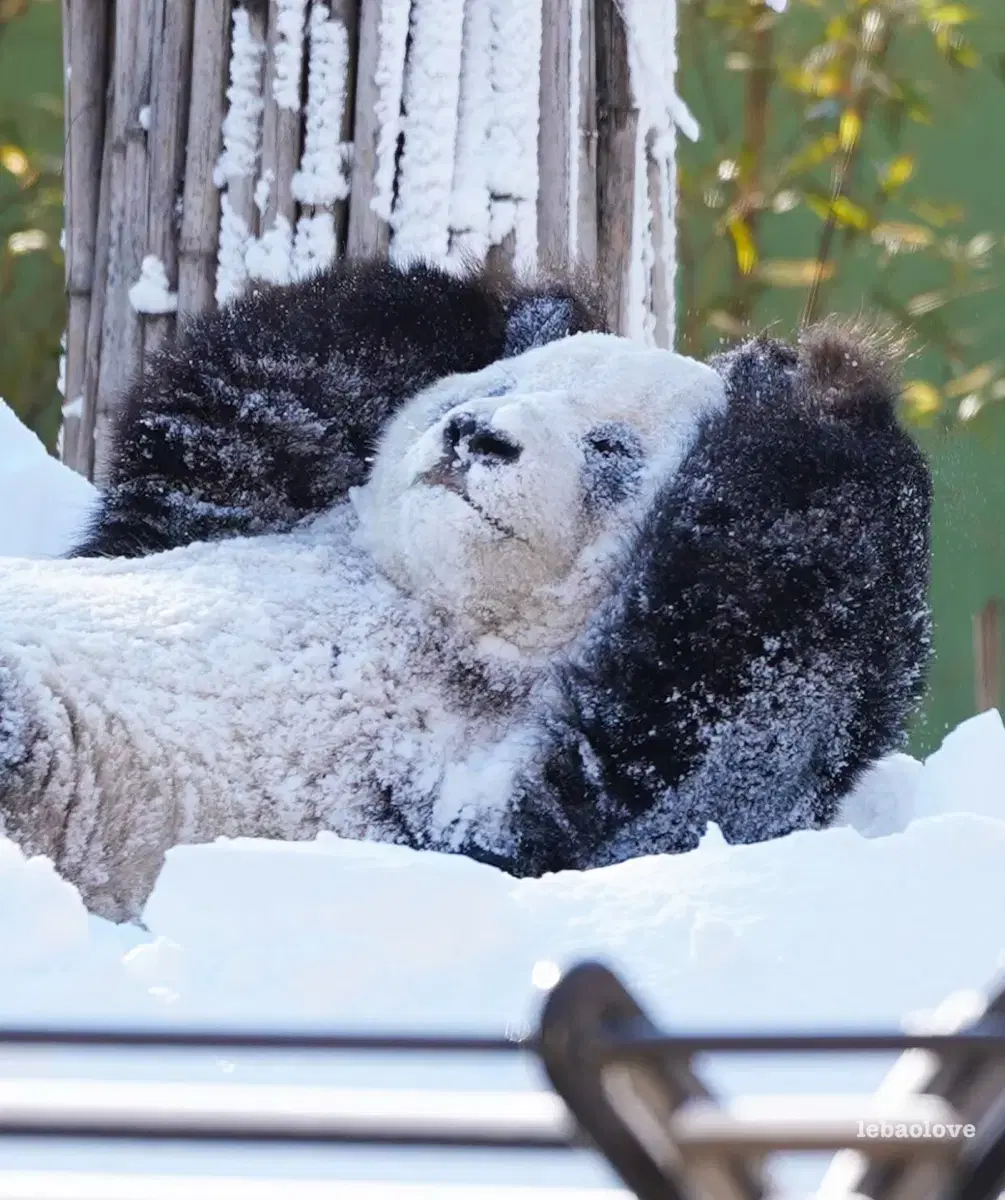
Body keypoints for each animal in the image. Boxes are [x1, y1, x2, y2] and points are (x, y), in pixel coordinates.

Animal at [0, 260, 930, 916]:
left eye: (610, 449)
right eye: (499, 387)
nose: (475, 435)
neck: (435, 614)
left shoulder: (436, 813)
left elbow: (719, 746)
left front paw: (818, 391)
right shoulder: (200, 515)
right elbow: (228, 423)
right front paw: (517, 308)